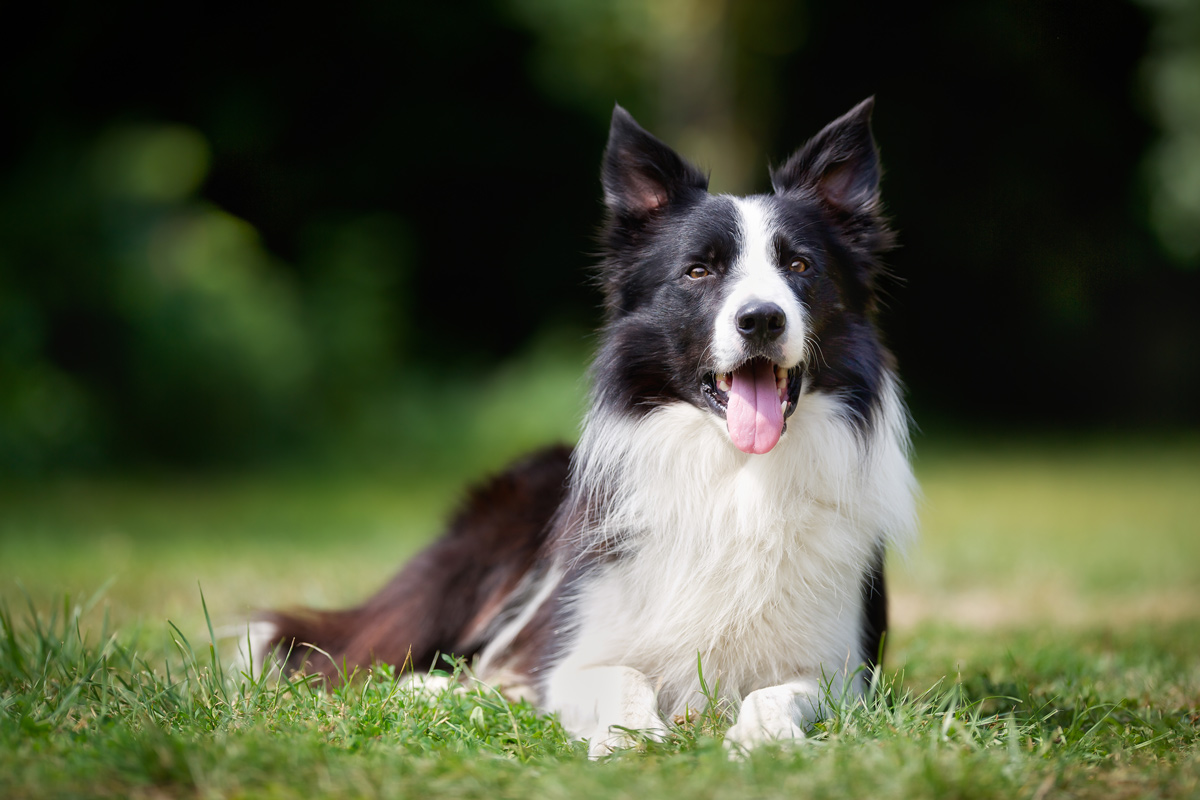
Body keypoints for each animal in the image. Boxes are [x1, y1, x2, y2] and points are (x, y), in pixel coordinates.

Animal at [253, 97, 912, 753]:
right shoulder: (574, 652)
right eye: (699, 272)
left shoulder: (841, 670)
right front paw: (631, 738)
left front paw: (764, 741)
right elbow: (618, 677)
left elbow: (777, 693)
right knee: (369, 659)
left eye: (799, 265)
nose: (762, 319)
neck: (735, 474)